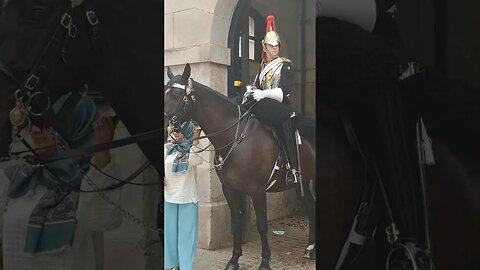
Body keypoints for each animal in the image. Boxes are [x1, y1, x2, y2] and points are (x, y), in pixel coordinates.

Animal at [163, 63, 316, 270]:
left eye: (177, 94)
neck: (235, 139)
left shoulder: (257, 190)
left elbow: (261, 225)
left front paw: (265, 261)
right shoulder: (230, 189)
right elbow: (235, 222)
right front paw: (234, 260)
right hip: (302, 183)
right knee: (311, 206)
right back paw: (310, 248)